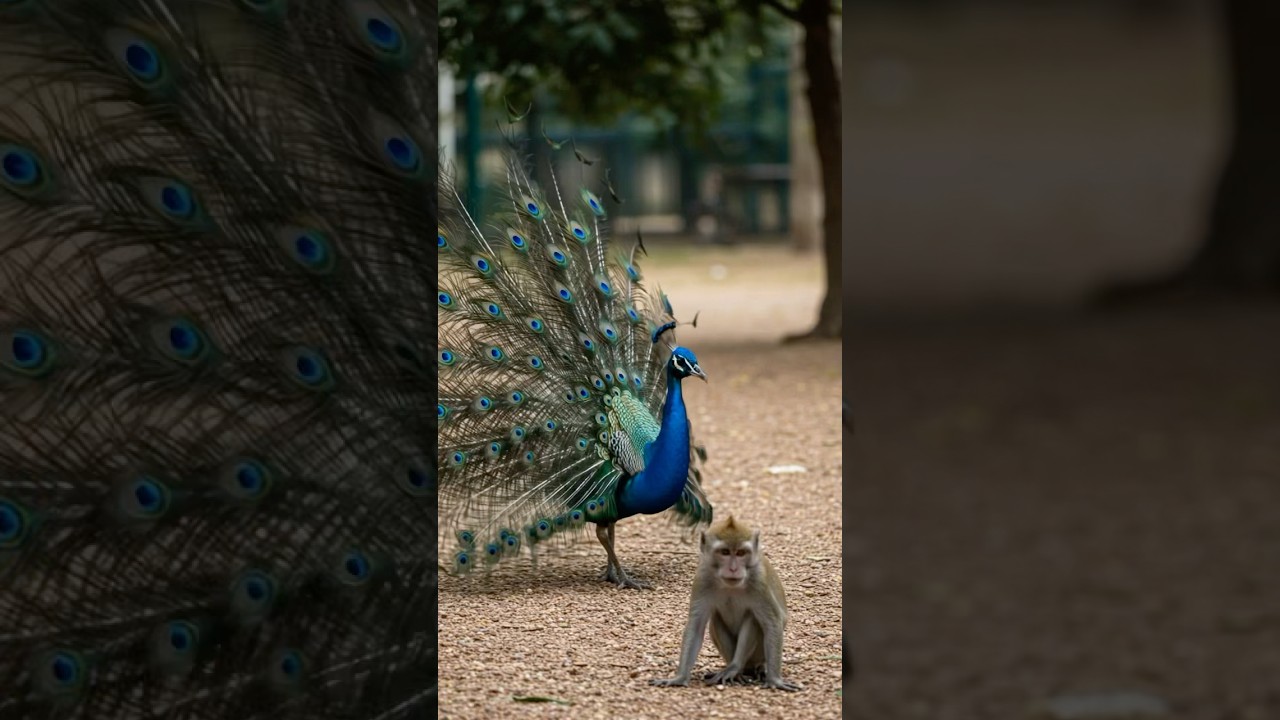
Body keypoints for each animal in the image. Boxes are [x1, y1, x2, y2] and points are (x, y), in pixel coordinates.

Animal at [650, 516, 802, 691]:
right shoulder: (702, 577)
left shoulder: (759, 581)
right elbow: (696, 627)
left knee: (754, 618)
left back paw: (738, 667)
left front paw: (775, 680)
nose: (733, 569)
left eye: (741, 553)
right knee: (716, 618)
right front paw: (679, 678)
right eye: (725, 552)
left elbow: (773, 623)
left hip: (758, 655)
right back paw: (736, 671)